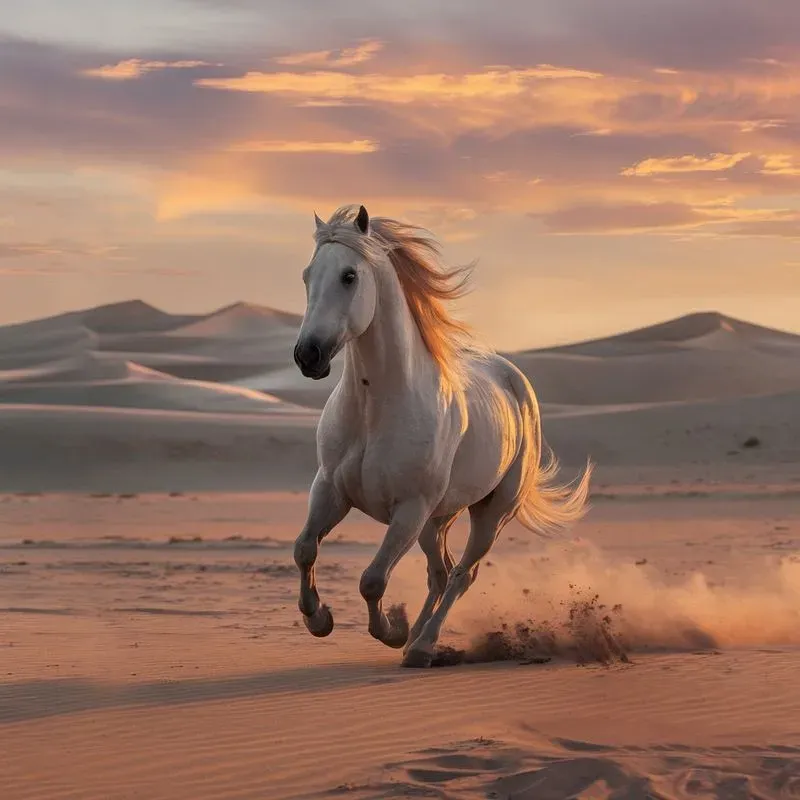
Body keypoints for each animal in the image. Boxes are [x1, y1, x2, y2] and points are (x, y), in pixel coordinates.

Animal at [292, 203, 593, 667]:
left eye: (349, 275)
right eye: (308, 275)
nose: (308, 355)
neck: (376, 408)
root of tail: (514, 379)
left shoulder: (409, 510)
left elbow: (373, 580)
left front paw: (391, 630)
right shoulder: (330, 490)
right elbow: (305, 549)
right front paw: (319, 620)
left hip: (489, 514)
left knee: (461, 575)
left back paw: (421, 645)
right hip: (437, 521)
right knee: (440, 571)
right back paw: (416, 639)